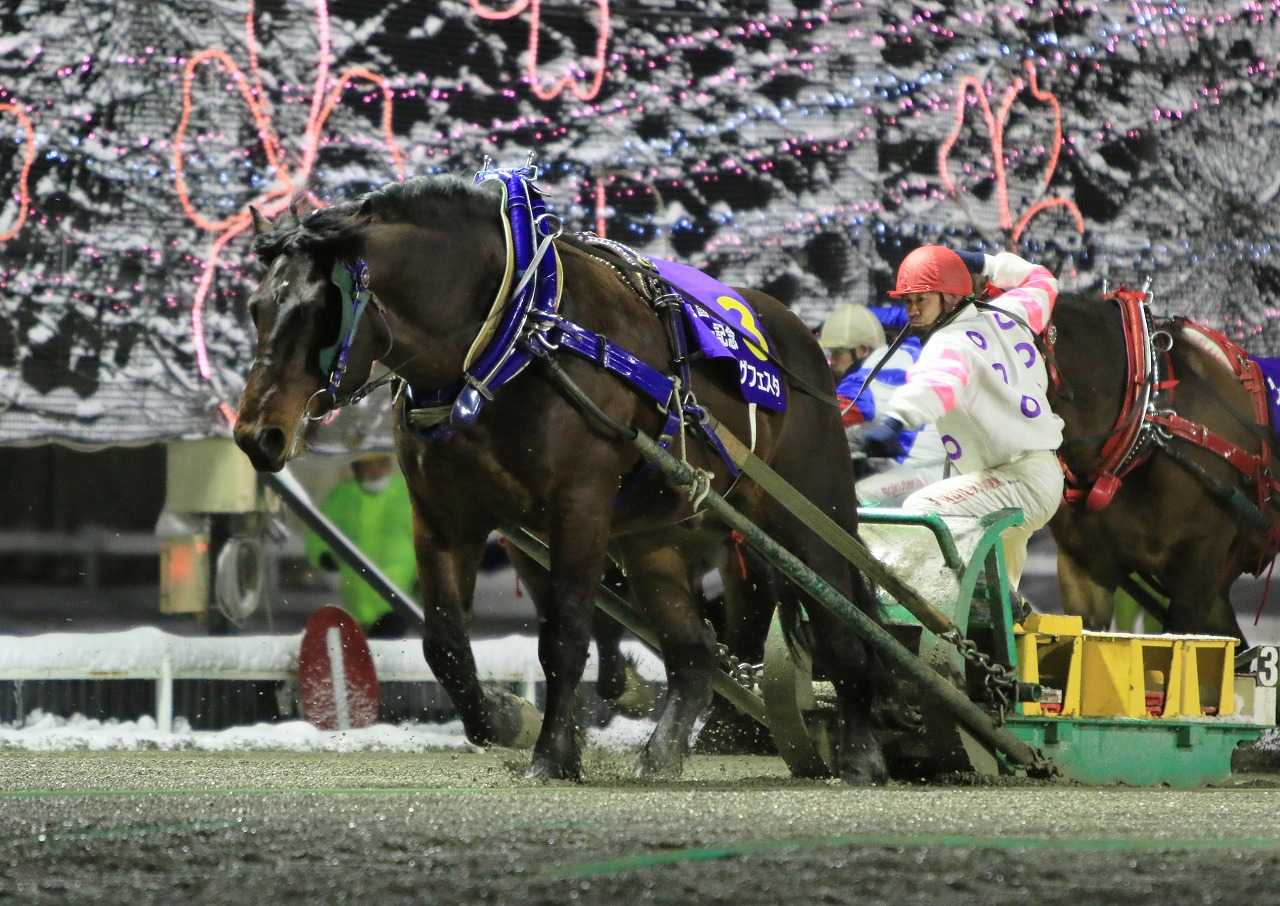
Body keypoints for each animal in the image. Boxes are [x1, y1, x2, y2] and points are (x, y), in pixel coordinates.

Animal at [232, 174, 890, 783]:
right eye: (257, 307)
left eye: (321, 310)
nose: (256, 434)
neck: (513, 340)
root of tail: (797, 337)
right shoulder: (445, 519)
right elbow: (444, 645)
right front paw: (505, 719)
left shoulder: (578, 509)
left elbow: (564, 636)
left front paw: (552, 753)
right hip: (652, 538)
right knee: (695, 652)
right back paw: (663, 752)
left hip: (810, 513)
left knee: (842, 626)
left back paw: (862, 753)